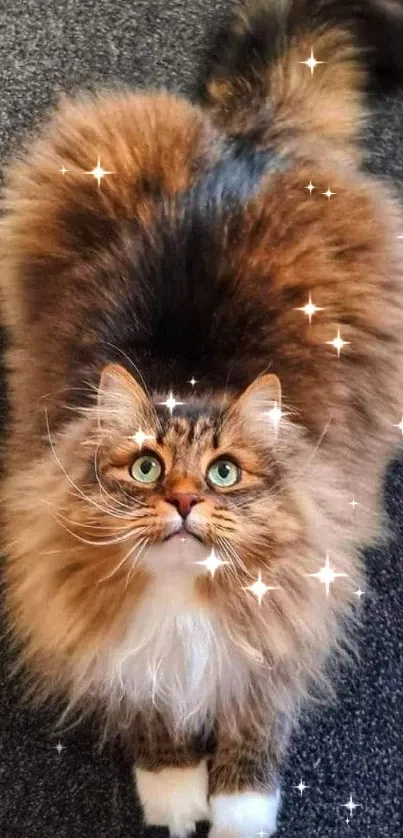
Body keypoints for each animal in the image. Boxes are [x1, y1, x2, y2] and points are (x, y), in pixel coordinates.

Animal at [0, 1, 403, 838]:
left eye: (223, 473)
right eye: (145, 466)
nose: (184, 502)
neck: (182, 600)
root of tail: (242, 143)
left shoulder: (288, 623)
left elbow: (254, 723)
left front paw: (240, 810)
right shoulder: (104, 641)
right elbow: (150, 717)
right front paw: (175, 793)